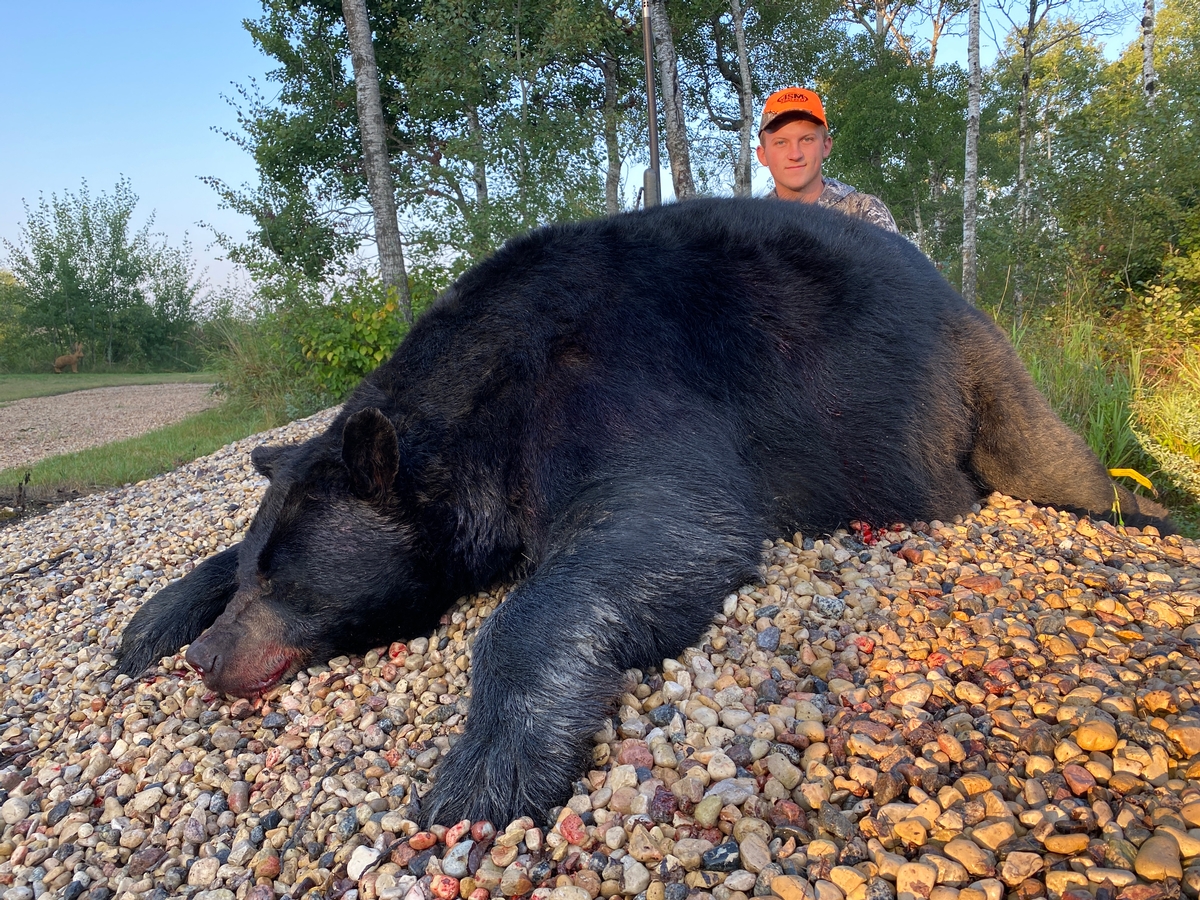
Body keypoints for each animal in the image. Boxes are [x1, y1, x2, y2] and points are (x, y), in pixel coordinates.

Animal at [116, 197, 1172, 825]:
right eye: (256, 570)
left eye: (289, 583)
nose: (208, 658)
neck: (487, 401)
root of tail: (952, 287)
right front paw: (154, 619)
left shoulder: (618, 382)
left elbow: (660, 529)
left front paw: (487, 768)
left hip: (966, 374)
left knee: (1053, 461)